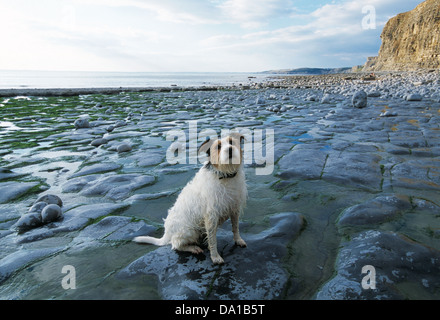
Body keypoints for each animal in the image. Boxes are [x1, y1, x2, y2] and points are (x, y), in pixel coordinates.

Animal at [132, 133, 248, 264]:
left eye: (232, 142)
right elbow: (212, 240)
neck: (225, 175)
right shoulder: (211, 216)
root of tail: (167, 232)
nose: (230, 150)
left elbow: (235, 227)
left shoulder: (234, 208)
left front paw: (238, 240)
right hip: (189, 230)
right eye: (218, 146)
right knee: (176, 244)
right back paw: (193, 248)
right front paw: (215, 256)